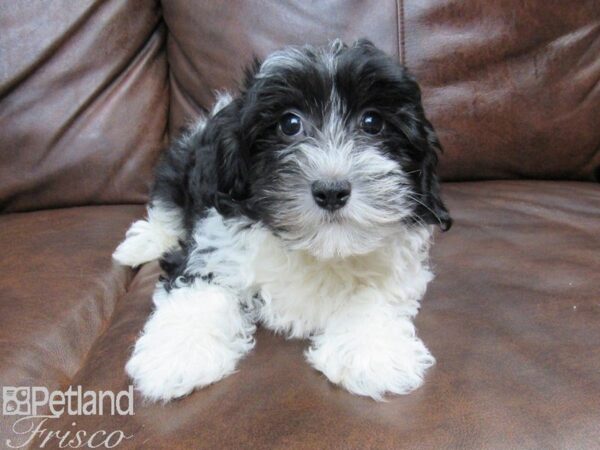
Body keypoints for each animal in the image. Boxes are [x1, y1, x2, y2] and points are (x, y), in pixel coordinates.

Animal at [112, 38, 450, 402]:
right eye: (289, 124)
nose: (331, 191)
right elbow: (199, 290)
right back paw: (141, 243)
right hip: (179, 166)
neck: (319, 251)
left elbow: (375, 293)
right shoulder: (213, 243)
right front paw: (177, 355)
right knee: (165, 208)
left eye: (372, 122)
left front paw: (372, 353)